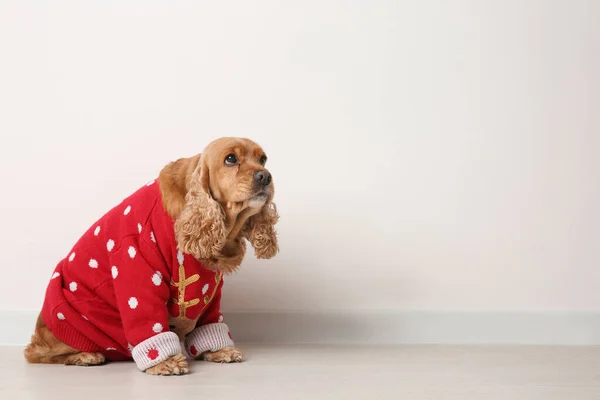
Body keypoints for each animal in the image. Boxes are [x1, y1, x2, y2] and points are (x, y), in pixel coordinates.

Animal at [25, 138, 282, 376]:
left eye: (263, 159)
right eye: (230, 159)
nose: (265, 177)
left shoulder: (211, 284)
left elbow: (210, 318)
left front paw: (218, 350)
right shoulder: (136, 263)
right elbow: (148, 319)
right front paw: (164, 362)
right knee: (36, 353)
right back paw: (85, 355)